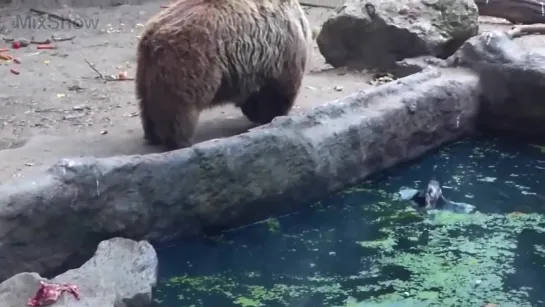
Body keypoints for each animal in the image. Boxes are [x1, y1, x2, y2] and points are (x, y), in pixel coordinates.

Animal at [135, 0, 310, 150]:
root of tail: (152, 36)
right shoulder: (282, 53)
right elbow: (278, 91)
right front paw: (271, 116)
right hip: (190, 61)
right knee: (179, 107)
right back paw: (180, 141)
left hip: (147, 70)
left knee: (147, 103)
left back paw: (152, 135)